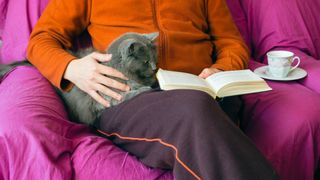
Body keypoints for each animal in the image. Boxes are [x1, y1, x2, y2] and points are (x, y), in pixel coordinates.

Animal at [0, 32, 159, 125]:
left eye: (154, 58)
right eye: (145, 61)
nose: (154, 67)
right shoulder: (106, 97)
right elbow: (128, 94)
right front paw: (146, 89)